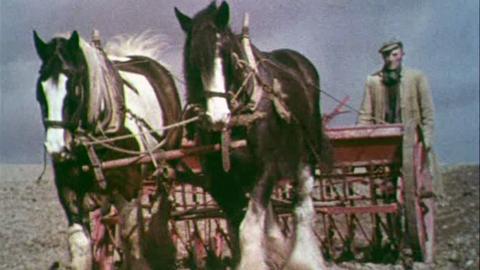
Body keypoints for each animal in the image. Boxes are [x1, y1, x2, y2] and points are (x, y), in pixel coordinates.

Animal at [32, 30, 181, 268]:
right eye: (40, 89)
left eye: (74, 88)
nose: (56, 147)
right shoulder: (69, 192)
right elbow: (81, 246)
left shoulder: (129, 190)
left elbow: (132, 240)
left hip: (165, 169)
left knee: (160, 211)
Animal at [175, 1, 330, 268]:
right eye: (194, 59)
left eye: (226, 54)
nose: (218, 116)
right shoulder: (219, 178)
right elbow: (239, 222)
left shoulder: (268, 167)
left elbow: (248, 227)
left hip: (308, 154)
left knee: (302, 208)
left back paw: (304, 259)